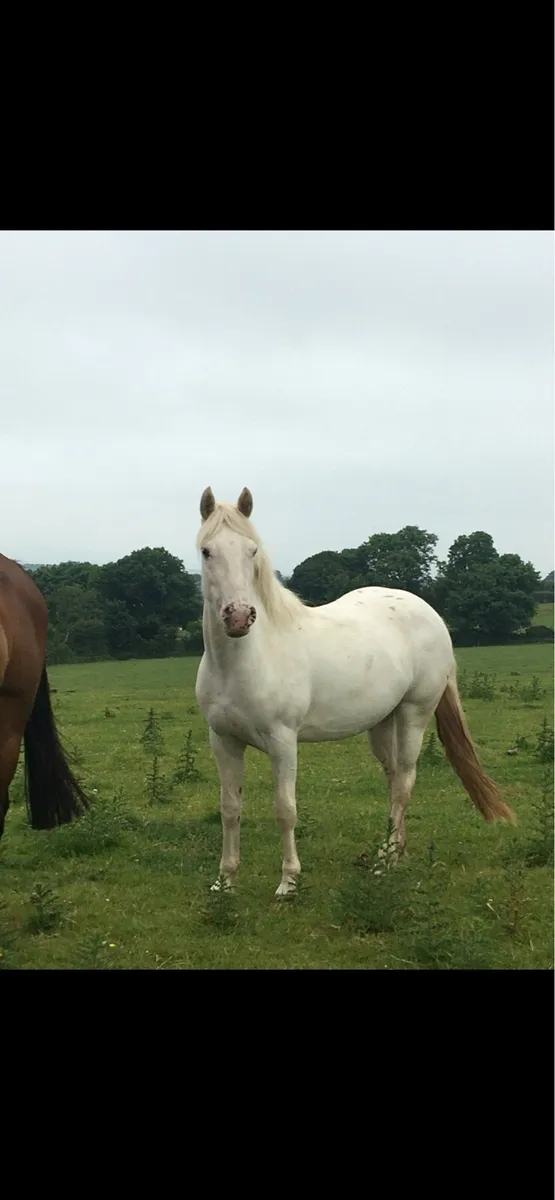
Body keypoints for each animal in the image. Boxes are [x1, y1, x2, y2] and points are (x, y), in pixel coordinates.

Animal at [195, 487, 515, 898]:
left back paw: (384, 860)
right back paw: (395, 854)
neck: (247, 659)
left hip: (414, 714)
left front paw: (288, 882)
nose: (238, 617)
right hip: (381, 723)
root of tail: (429, 612)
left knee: (405, 781)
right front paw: (225, 881)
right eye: (207, 551)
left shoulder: (283, 742)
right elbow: (230, 809)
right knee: (393, 780)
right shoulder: (224, 741)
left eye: (252, 550)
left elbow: (285, 809)